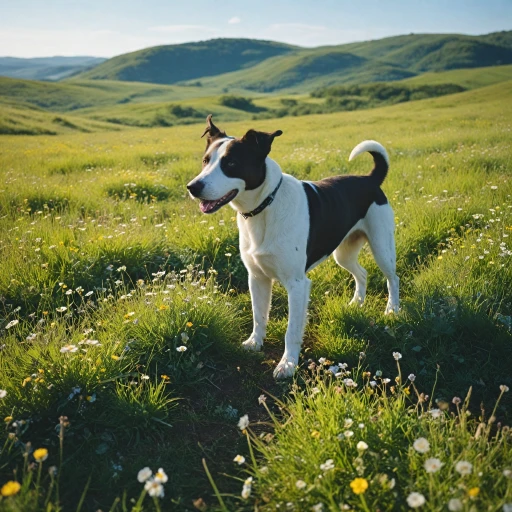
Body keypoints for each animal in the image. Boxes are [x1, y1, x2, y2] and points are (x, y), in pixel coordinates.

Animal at [188, 117, 400, 380]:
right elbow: (259, 315)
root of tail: (369, 179)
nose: (192, 187)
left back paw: (392, 309)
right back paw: (356, 303)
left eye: (231, 163)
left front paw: (288, 364)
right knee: (362, 273)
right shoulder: (257, 278)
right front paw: (255, 342)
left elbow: (291, 330)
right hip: (343, 252)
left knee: (392, 278)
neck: (264, 206)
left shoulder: (297, 285)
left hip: (382, 247)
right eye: (205, 160)